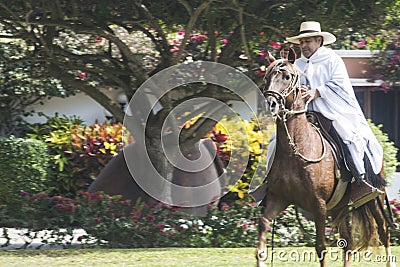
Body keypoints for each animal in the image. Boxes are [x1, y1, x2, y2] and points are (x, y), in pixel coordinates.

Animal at [253, 58, 394, 267]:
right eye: (267, 77)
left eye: (286, 76)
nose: (271, 103)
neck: (295, 150)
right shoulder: (279, 198)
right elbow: (263, 224)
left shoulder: (318, 204)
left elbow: (321, 246)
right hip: (339, 207)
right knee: (348, 243)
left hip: (375, 198)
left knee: (384, 231)